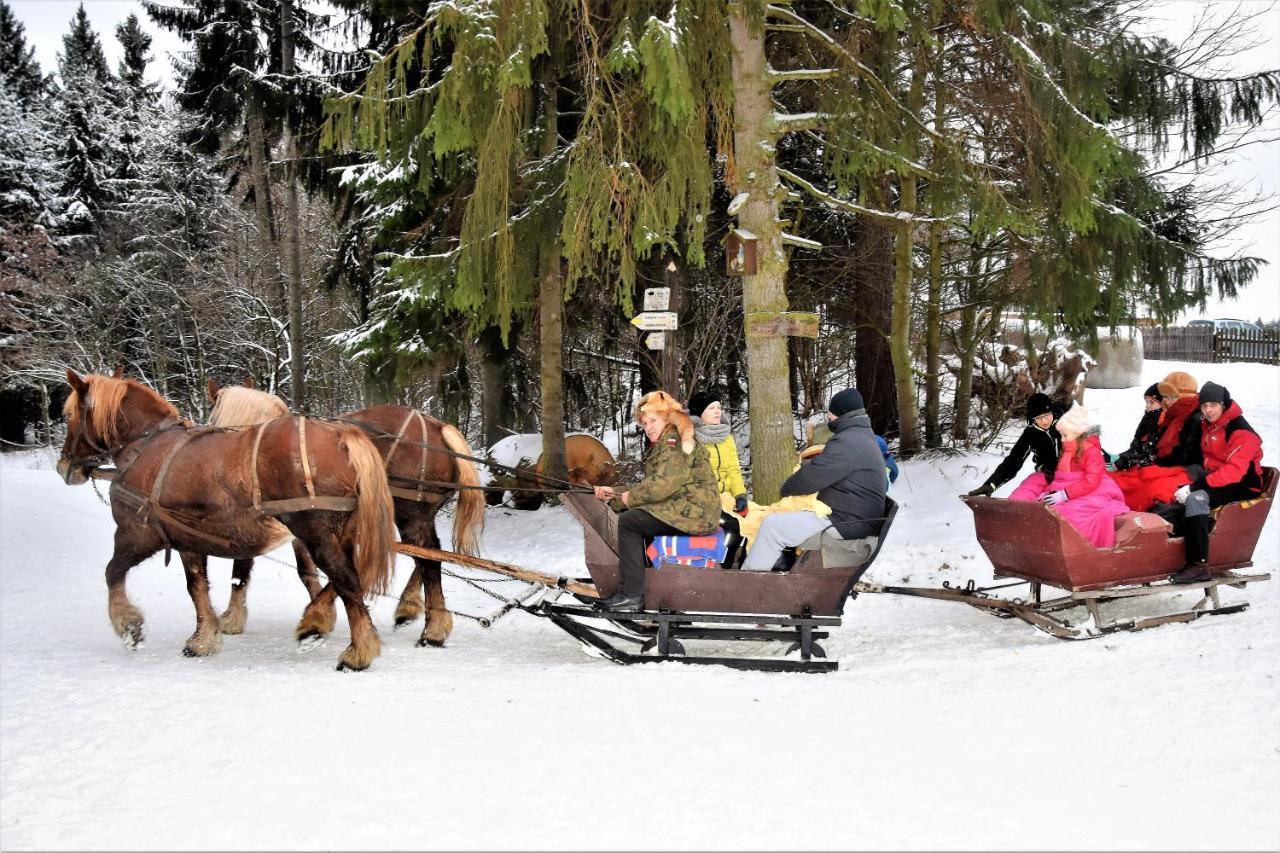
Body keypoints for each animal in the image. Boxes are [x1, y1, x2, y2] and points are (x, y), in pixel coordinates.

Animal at [57, 368, 396, 666]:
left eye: (69, 415)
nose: (64, 466)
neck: (145, 447)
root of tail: (342, 436)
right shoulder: (187, 538)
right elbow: (200, 585)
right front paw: (205, 637)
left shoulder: (137, 533)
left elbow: (113, 572)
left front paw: (129, 625)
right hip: (343, 532)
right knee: (349, 576)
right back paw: (322, 625)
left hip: (315, 533)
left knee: (347, 578)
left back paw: (357, 651)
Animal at [204, 379, 483, 645]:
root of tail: (439, 427)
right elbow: (307, 571)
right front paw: (322, 614)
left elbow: (242, 570)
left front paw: (232, 618)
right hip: (415, 516)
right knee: (427, 554)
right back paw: (409, 609)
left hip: (410, 515)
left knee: (428, 560)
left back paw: (432, 630)